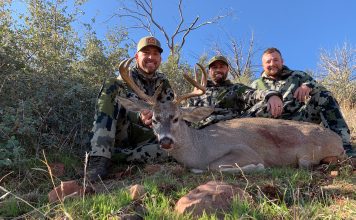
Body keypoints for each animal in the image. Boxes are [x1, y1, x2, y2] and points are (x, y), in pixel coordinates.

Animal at [117, 58, 344, 174]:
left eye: (176, 118)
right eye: (154, 119)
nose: (165, 141)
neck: (201, 148)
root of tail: (339, 141)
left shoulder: (243, 150)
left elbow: (215, 167)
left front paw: (257, 167)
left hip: (309, 152)